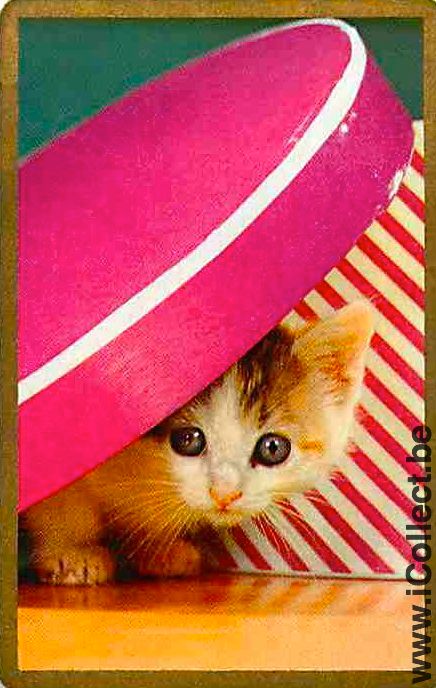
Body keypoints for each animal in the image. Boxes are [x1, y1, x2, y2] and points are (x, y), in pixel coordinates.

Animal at [21, 300, 374, 585]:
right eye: (188, 440)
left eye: (273, 448)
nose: (225, 495)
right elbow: (65, 502)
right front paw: (73, 552)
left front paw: (160, 547)